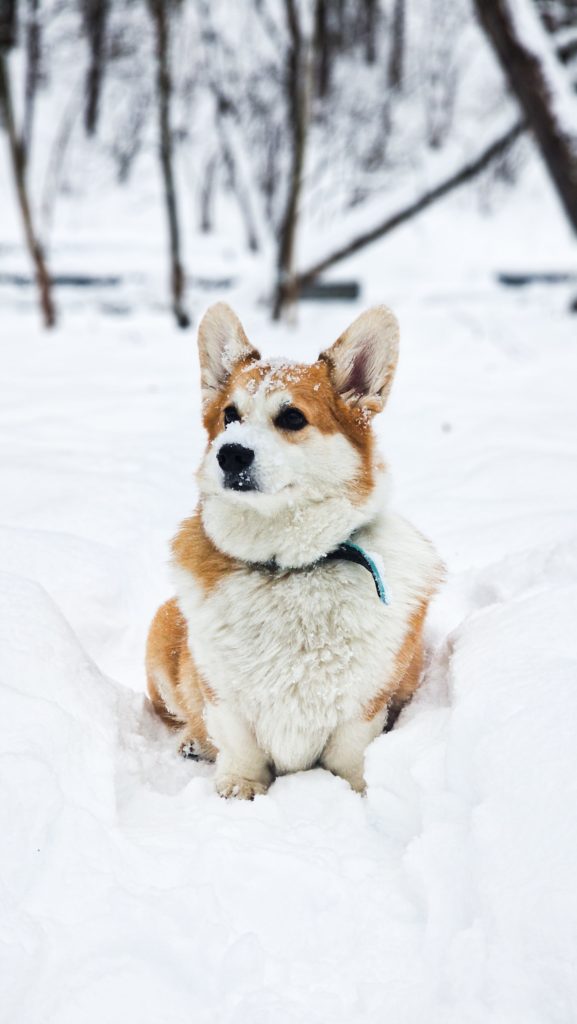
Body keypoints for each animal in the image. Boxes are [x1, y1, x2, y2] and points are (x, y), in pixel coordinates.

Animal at [146, 303, 444, 798]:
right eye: (229, 416)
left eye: (292, 418)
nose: (230, 454)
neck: (287, 568)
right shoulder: (223, 694)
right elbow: (237, 739)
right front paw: (239, 786)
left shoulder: (366, 703)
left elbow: (348, 752)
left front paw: (352, 790)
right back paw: (194, 743)